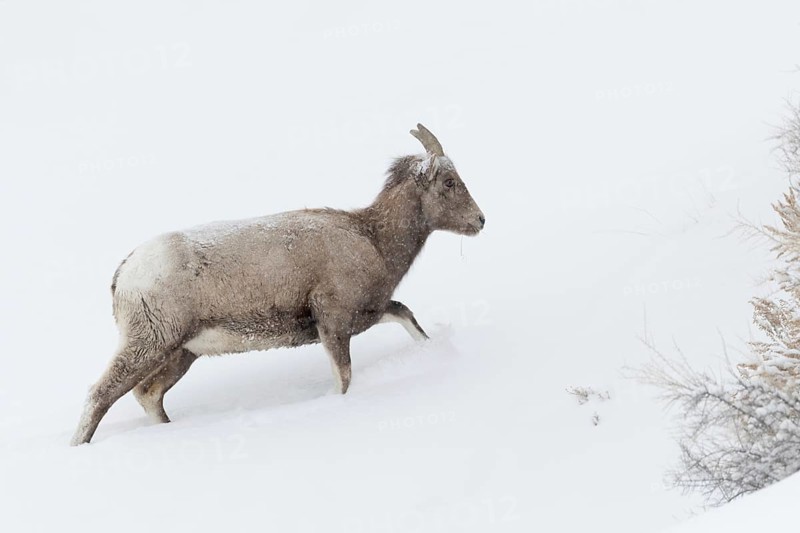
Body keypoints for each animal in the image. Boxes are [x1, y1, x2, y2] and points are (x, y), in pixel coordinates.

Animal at [70, 124, 485, 445]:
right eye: (449, 182)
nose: (481, 220)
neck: (373, 239)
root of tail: (126, 271)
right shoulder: (334, 323)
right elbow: (344, 378)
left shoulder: (368, 313)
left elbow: (408, 319)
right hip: (149, 344)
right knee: (99, 396)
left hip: (181, 353)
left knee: (149, 395)